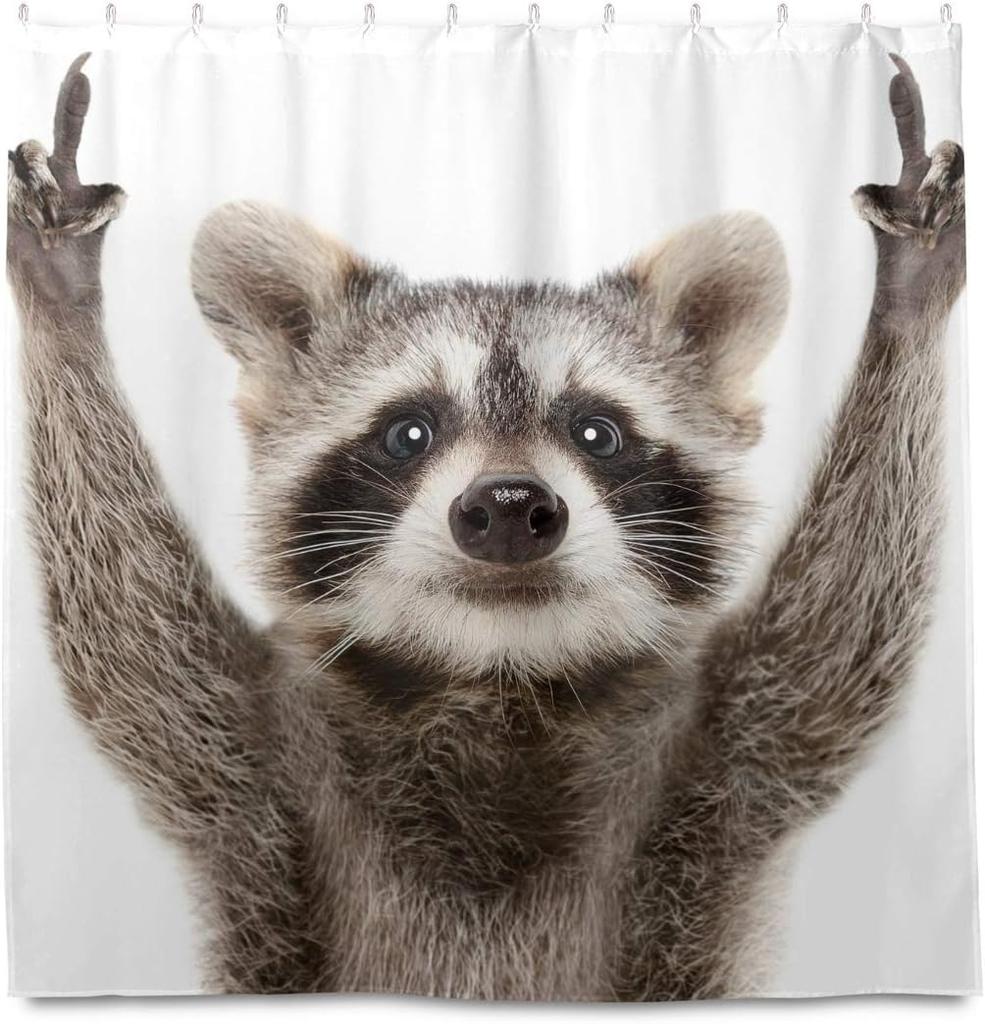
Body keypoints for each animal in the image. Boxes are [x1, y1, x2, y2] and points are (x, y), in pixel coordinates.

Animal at [6, 53, 966, 998]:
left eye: (597, 432)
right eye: (408, 432)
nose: (508, 509)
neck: (497, 680)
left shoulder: (724, 755)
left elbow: (836, 640)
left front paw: (907, 295)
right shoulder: (253, 753)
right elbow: (131, 640)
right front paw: (61, 299)